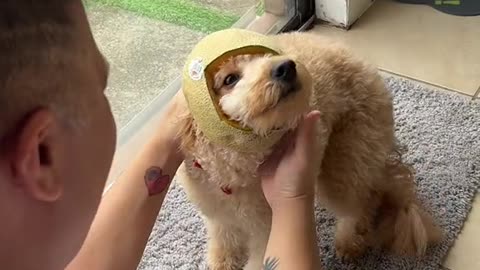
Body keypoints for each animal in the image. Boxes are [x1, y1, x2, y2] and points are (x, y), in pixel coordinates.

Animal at [176, 32, 442, 270]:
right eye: (230, 79)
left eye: (266, 54)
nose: (286, 67)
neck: (234, 169)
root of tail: (366, 66)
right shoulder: (219, 216)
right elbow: (224, 242)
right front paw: (221, 262)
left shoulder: (268, 228)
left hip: (344, 163)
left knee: (362, 202)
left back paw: (349, 242)